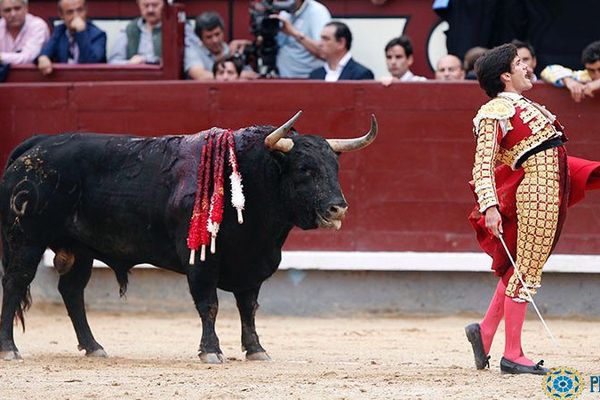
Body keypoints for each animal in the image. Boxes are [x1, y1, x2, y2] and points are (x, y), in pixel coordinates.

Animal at [0, 112, 376, 362]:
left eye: (335, 168)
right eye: (304, 169)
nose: (337, 209)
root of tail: (36, 145)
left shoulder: (252, 263)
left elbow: (248, 308)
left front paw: (256, 350)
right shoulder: (201, 261)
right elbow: (208, 304)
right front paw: (211, 351)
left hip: (81, 248)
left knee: (72, 291)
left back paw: (94, 347)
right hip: (25, 240)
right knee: (15, 284)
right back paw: (10, 349)